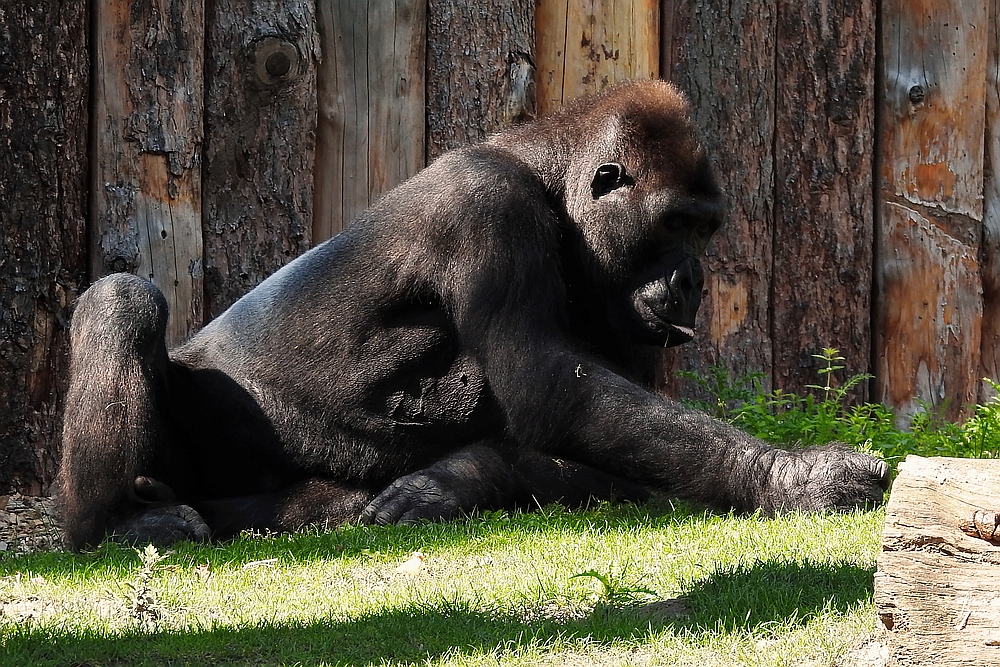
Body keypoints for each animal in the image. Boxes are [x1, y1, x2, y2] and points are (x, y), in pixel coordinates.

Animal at [56, 78, 892, 552]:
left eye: (707, 228)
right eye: (677, 224)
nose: (695, 280)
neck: (547, 174)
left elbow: (597, 449)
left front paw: (457, 477)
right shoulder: (488, 206)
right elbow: (550, 388)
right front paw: (796, 475)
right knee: (123, 300)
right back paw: (110, 524)